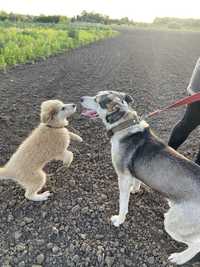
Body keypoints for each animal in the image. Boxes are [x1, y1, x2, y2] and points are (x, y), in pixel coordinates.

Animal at [81, 91, 200, 266]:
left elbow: (123, 204)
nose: (80, 99)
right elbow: (137, 181)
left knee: (196, 244)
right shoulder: (132, 173)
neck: (124, 124)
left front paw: (119, 220)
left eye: (98, 101)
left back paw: (179, 258)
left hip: (173, 222)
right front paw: (135, 190)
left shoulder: (123, 176)